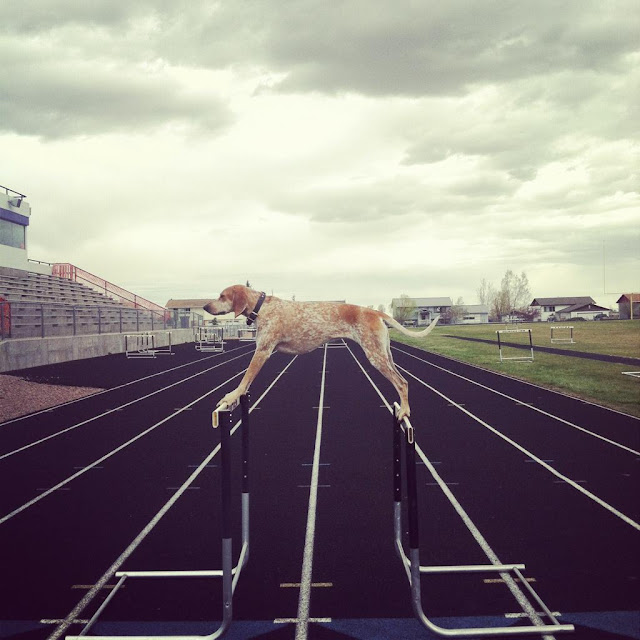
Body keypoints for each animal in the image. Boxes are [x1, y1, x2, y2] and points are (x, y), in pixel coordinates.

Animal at [205, 284, 440, 420]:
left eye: (222, 296)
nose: (206, 306)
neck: (262, 307)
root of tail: (374, 312)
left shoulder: (263, 351)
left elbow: (244, 380)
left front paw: (232, 394)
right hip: (385, 355)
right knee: (405, 380)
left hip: (376, 356)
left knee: (401, 383)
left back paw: (405, 411)